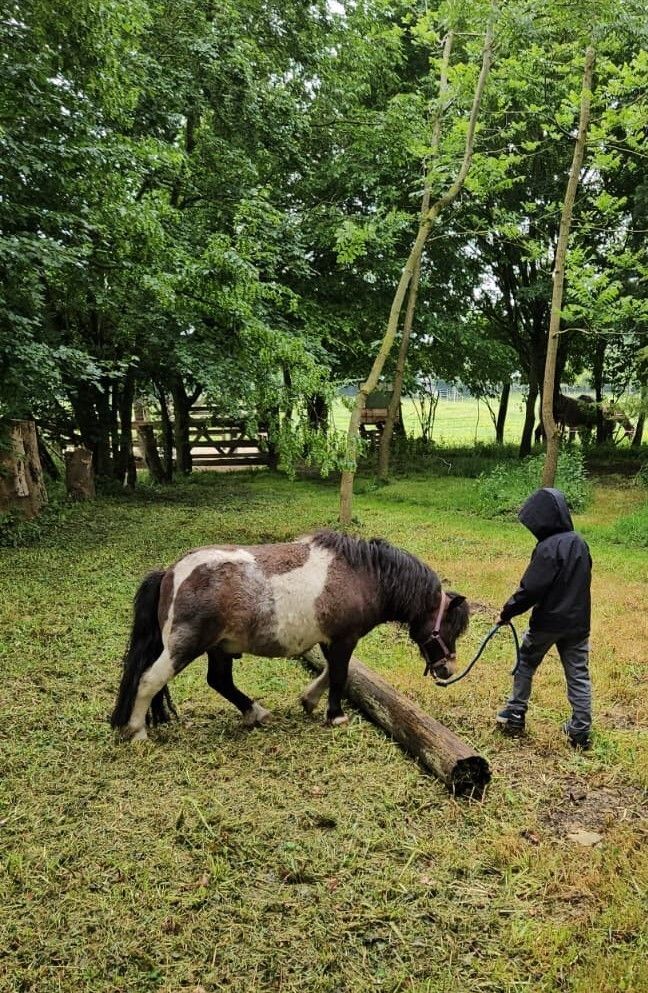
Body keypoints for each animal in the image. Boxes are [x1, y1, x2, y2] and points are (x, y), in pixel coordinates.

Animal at [110, 529, 470, 741]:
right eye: (449, 628)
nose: (447, 669)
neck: (364, 575)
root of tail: (170, 573)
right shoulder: (344, 639)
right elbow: (340, 675)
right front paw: (335, 715)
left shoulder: (331, 640)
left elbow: (336, 673)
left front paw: (310, 700)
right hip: (184, 647)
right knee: (149, 679)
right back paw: (136, 731)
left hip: (219, 648)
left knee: (220, 681)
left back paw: (255, 713)